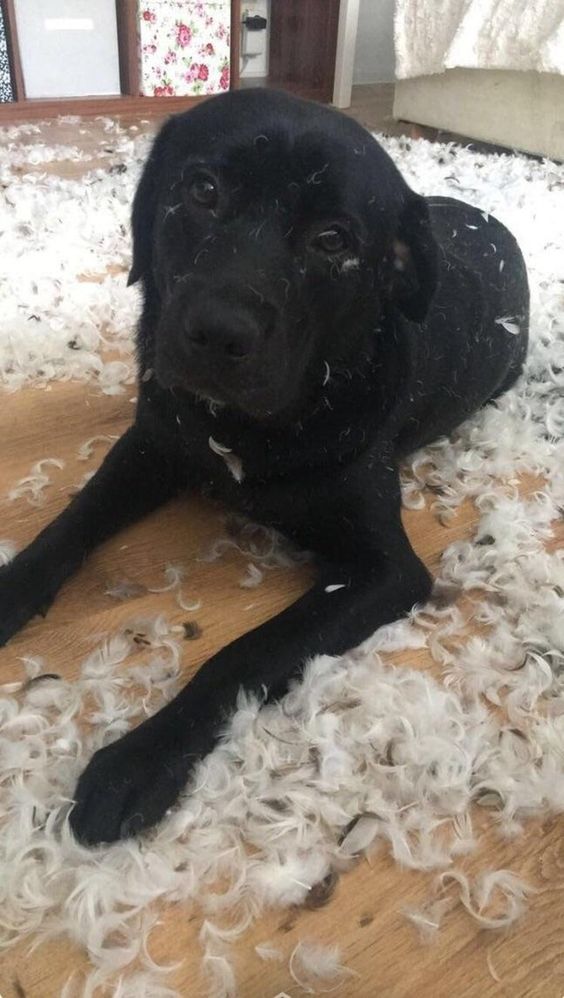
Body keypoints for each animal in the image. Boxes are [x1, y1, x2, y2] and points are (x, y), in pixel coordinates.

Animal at [0, 92, 528, 844]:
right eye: (202, 190)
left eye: (333, 240)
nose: (219, 332)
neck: (248, 429)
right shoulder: (153, 444)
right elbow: (67, 526)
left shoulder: (386, 571)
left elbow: (246, 654)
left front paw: (137, 761)